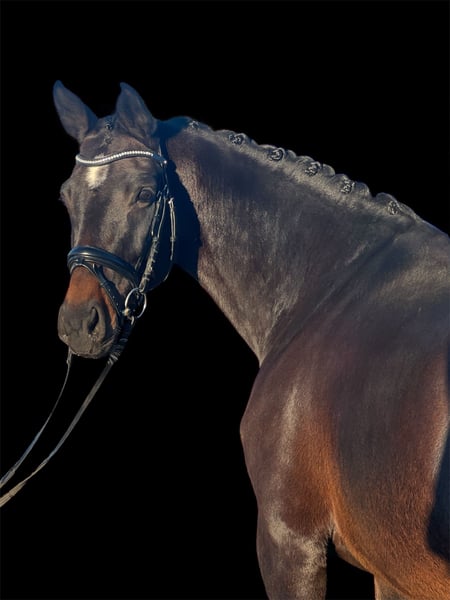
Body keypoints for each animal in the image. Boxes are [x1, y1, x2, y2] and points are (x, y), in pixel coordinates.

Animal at [51, 80, 449, 600]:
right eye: (66, 198)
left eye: (145, 193)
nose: (79, 323)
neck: (332, 283)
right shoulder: (393, 573)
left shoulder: (289, 541)